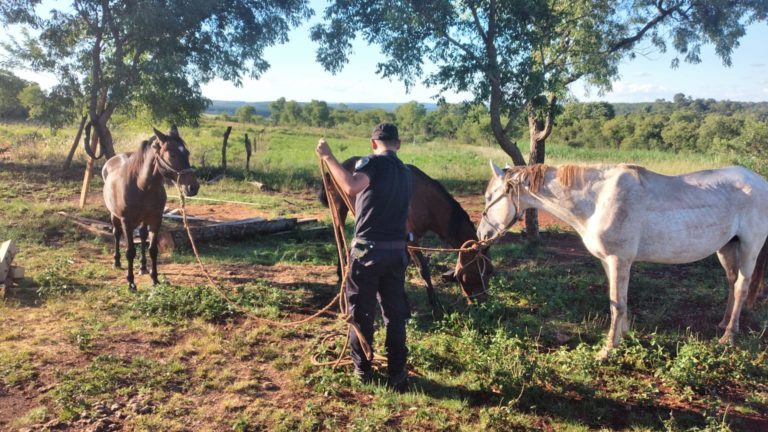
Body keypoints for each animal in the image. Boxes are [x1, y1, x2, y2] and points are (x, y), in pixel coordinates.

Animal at [101, 126, 198, 292]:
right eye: (172, 154)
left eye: (187, 152)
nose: (193, 187)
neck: (142, 185)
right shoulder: (127, 222)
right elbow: (130, 251)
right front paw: (131, 283)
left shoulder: (155, 219)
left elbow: (153, 249)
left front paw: (155, 279)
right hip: (115, 216)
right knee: (116, 234)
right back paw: (117, 262)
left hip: (143, 220)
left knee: (142, 235)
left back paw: (143, 267)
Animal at [320, 157, 492, 316]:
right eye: (481, 271)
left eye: (490, 271)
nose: (483, 302)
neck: (424, 200)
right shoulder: (411, 239)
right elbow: (423, 269)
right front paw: (435, 306)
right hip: (339, 211)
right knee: (339, 239)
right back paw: (340, 275)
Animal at [480, 162, 768, 358]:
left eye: (489, 197)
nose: (482, 235)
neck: (598, 201)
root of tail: (760, 182)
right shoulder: (610, 262)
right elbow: (620, 300)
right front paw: (625, 336)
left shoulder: (619, 259)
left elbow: (616, 304)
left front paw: (607, 349)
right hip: (727, 247)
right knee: (732, 282)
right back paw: (724, 323)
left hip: (750, 248)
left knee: (742, 287)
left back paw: (729, 336)